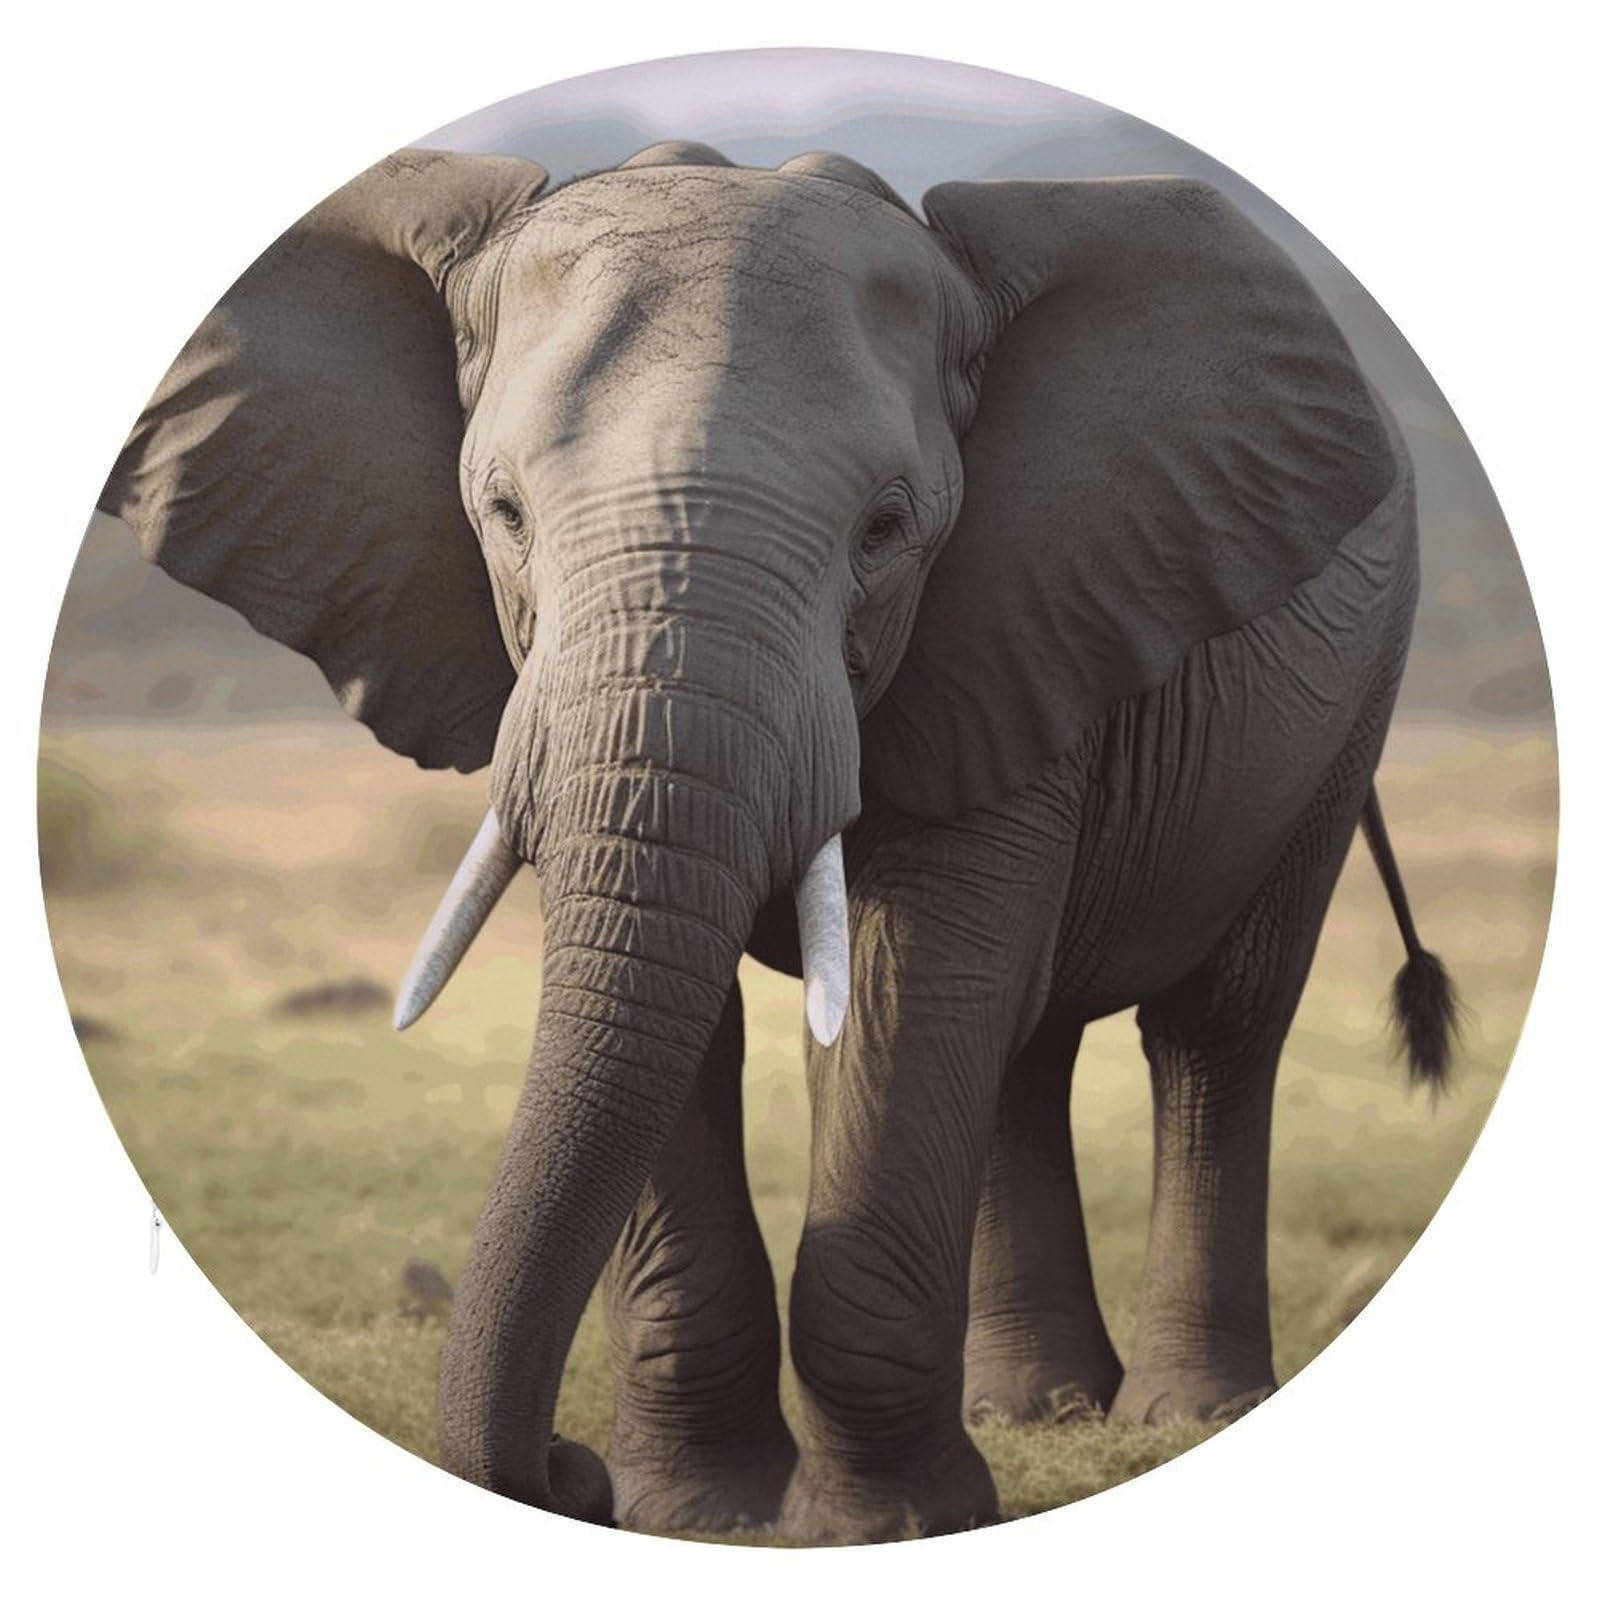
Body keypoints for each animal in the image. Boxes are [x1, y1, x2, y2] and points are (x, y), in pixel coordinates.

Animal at [98, 140, 1457, 1543]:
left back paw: (1180, 1417)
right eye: (504, 512)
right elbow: (677, 1003)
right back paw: (1030, 1414)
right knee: (1023, 1049)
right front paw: (696, 1517)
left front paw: (885, 1530)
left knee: (1211, 1027)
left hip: (1346, 708)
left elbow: (910, 980)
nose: (567, 1473)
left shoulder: (1015, 606)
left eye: (886, 529)